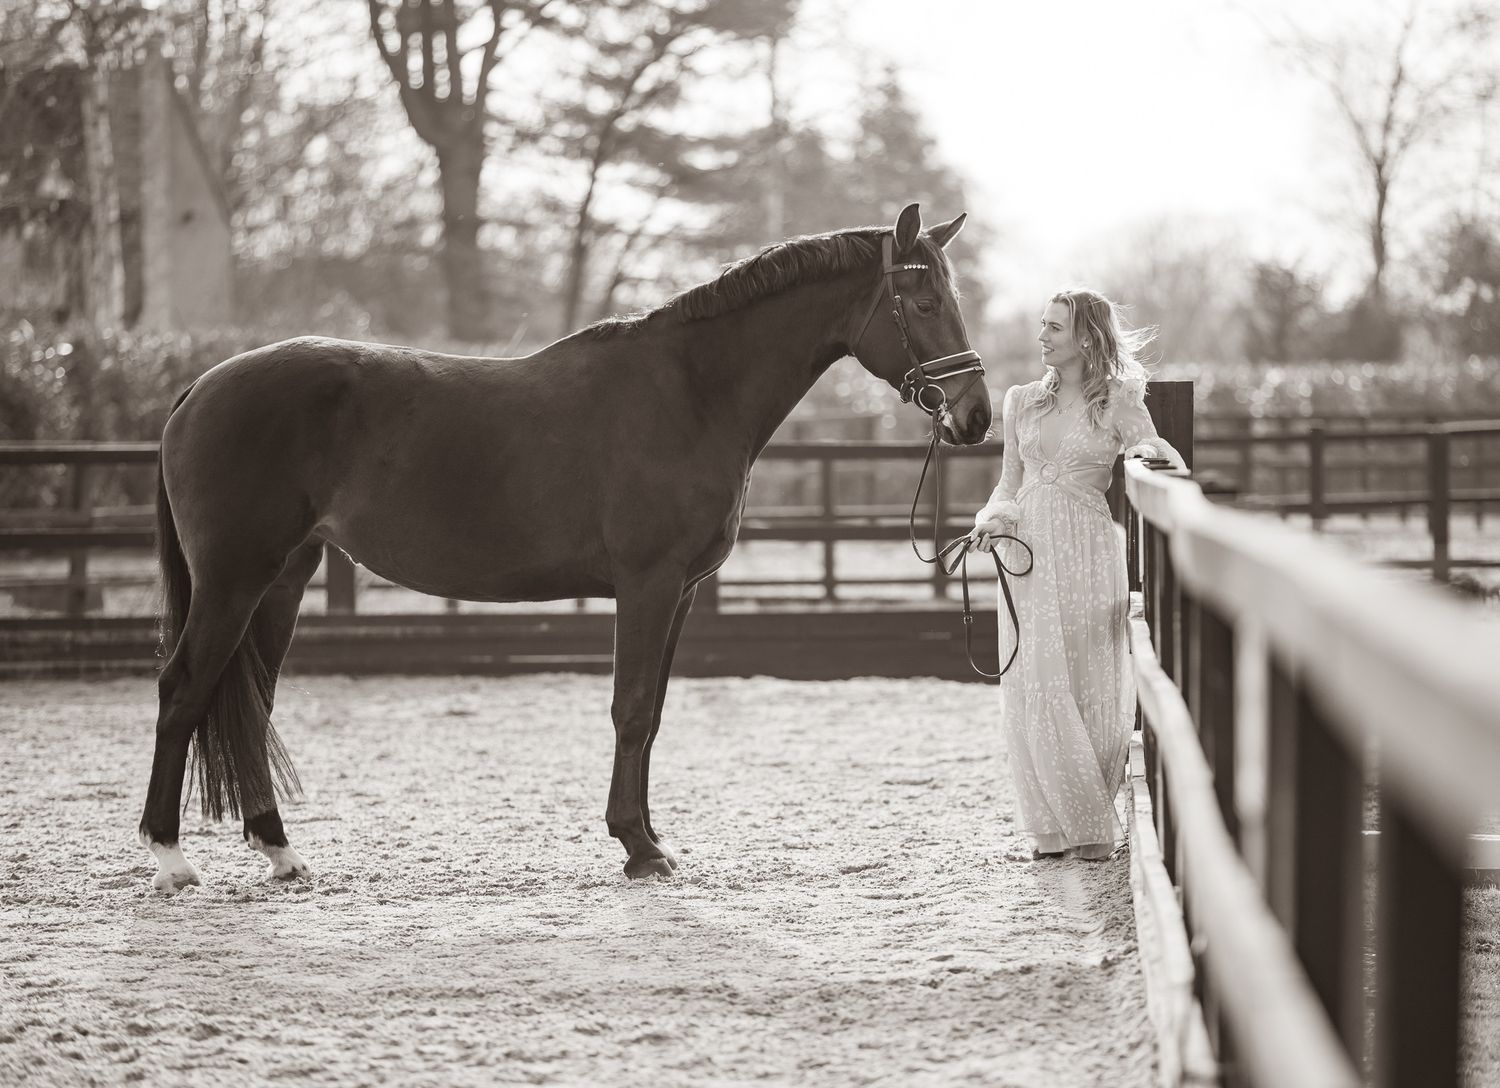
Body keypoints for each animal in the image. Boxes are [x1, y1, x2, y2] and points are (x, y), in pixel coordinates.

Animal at [139, 202, 992, 893]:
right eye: (922, 301)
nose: (976, 416)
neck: (690, 391)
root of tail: (198, 387)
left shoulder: (680, 591)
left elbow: (651, 713)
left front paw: (648, 838)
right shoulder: (648, 584)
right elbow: (630, 708)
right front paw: (638, 849)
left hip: (282, 579)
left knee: (251, 701)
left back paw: (280, 852)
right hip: (233, 579)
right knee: (183, 688)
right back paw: (171, 858)